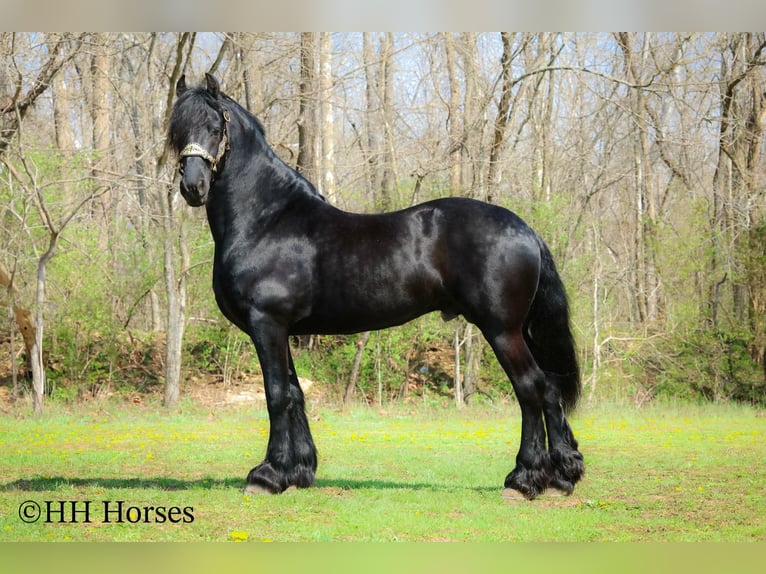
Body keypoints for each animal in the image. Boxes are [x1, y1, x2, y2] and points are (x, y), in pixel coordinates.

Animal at [167, 73, 584, 500]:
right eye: (176, 130)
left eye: (215, 128)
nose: (193, 187)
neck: (267, 219)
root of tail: (526, 230)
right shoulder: (282, 330)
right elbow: (295, 393)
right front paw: (297, 472)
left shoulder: (266, 324)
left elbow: (276, 395)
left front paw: (267, 476)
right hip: (520, 331)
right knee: (550, 389)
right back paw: (561, 476)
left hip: (503, 331)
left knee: (531, 389)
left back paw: (523, 479)